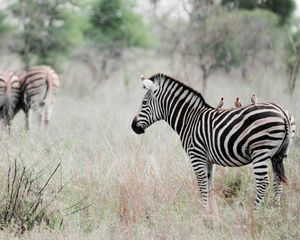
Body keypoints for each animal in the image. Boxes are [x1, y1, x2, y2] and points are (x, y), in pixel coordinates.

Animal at [132, 73, 296, 212]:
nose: (133, 127)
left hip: (261, 151)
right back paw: (276, 212)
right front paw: (213, 215)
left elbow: (202, 185)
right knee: (277, 181)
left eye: (144, 102)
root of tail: (282, 113)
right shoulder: (208, 159)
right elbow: (210, 186)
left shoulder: (196, 155)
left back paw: (255, 215)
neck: (189, 119)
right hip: (279, 154)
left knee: (263, 183)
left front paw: (204, 215)